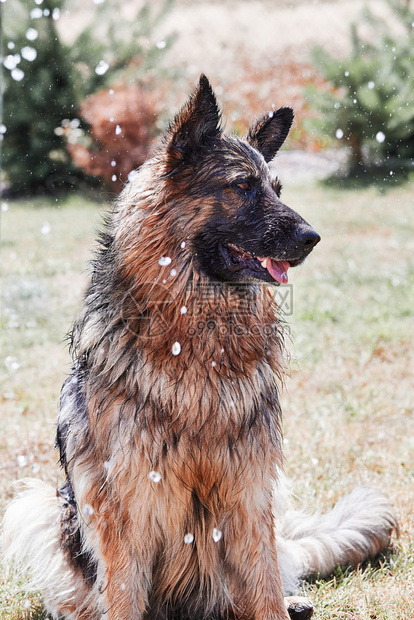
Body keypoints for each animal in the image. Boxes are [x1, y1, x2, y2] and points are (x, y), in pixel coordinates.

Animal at [4, 77, 398, 620]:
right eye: (242, 187)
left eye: (277, 190)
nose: (313, 238)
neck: (195, 339)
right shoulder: (125, 498)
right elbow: (121, 592)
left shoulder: (249, 487)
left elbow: (263, 583)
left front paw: (279, 604)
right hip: (46, 504)